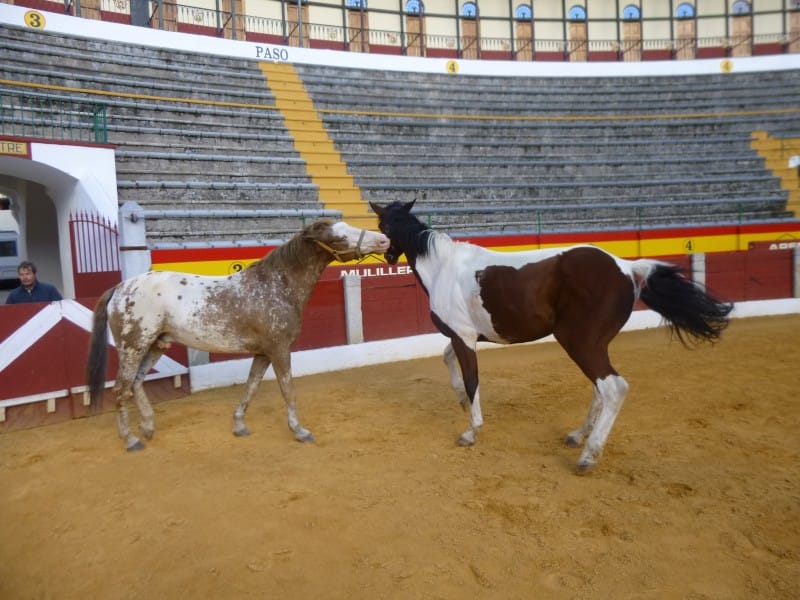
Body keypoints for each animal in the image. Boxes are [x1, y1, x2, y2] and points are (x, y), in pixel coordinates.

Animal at [87, 217, 388, 450]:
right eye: (340, 237)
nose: (384, 240)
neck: (276, 286)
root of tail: (120, 288)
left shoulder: (263, 352)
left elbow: (251, 385)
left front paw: (239, 424)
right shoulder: (279, 349)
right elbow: (287, 389)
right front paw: (300, 430)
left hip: (156, 345)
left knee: (136, 383)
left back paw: (148, 427)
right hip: (133, 346)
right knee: (121, 389)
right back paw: (131, 440)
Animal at [372, 202, 736, 474]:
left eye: (381, 223)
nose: (385, 255)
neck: (443, 268)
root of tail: (627, 267)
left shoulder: (464, 337)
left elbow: (472, 380)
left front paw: (471, 431)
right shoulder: (465, 336)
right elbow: (448, 360)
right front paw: (461, 400)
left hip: (580, 342)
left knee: (613, 387)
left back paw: (588, 456)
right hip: (592, 344)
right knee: (600, 388)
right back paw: (577, 436)